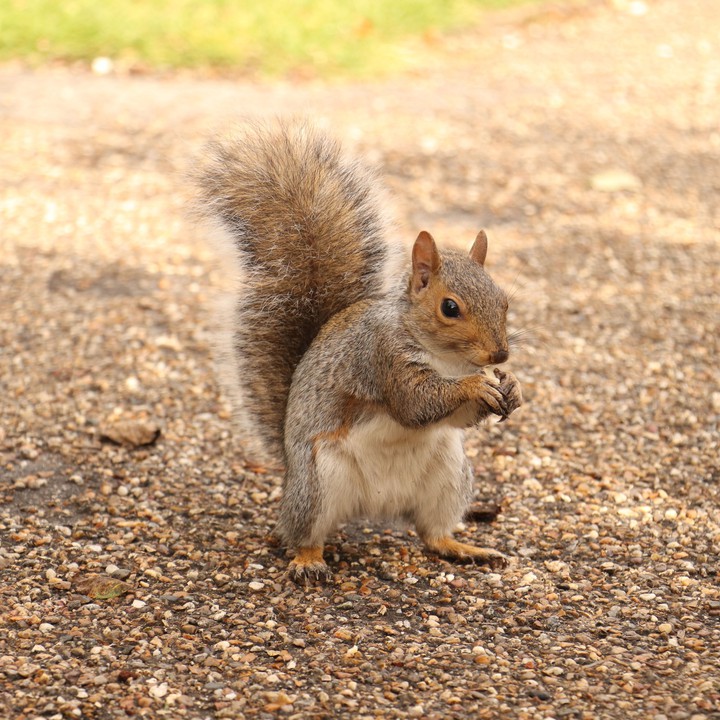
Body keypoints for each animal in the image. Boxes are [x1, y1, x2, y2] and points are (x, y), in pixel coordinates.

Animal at [193, 121, 523, 583]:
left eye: (504, 301)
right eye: (450, 307)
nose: (499, 357)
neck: (447, 360)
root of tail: (376, 506)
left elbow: (453, 417)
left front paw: (512, 387)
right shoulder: (381, 357)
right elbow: (415, 403)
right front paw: (476, 386)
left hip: (448, 476)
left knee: (432, 533)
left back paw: (463, 547)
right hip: (318, 483)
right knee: (303, 533)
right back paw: (308, 561)